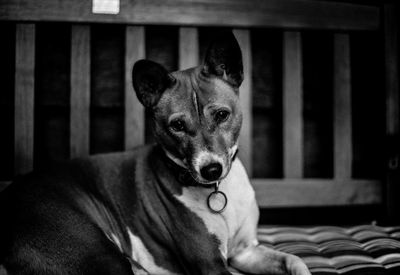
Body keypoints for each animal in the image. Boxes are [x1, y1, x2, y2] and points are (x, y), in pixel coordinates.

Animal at [0, 31, 310, 274]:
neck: (218, 191)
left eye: (222, 115)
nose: (211, 169)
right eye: (177, 126)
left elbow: (294, 260)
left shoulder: (244, 252)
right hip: (101, 256)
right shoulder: (211, 264)